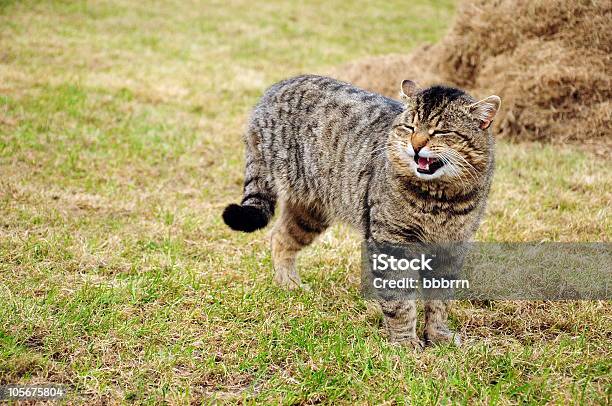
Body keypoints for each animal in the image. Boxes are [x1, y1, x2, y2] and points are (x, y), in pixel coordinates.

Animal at [222, 74, 500, 348]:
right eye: (410, 127)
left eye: (441, 131)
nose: (416, 145)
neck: (438, 200)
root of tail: (275, 87)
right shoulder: (391, 243)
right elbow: (399, 301)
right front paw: (405, 342)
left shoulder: (452, 248)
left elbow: (440, 302)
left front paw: (438, 335)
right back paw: (290, 285)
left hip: (310, 213)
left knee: (280, 237)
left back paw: (290, 284)